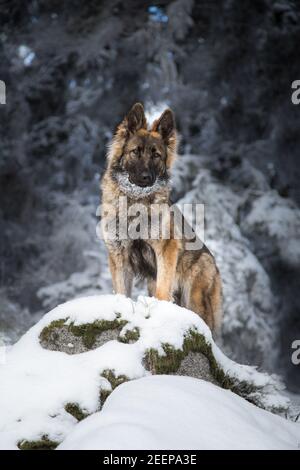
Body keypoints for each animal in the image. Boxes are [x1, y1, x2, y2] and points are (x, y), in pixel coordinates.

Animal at [102, 103, 221, 330]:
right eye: (135, 152)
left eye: (156, 155)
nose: (147, 177)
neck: (135, 201)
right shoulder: (119, 255)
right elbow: (122, 291)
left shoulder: (166, 249)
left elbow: (163, 289)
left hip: (194, 296)